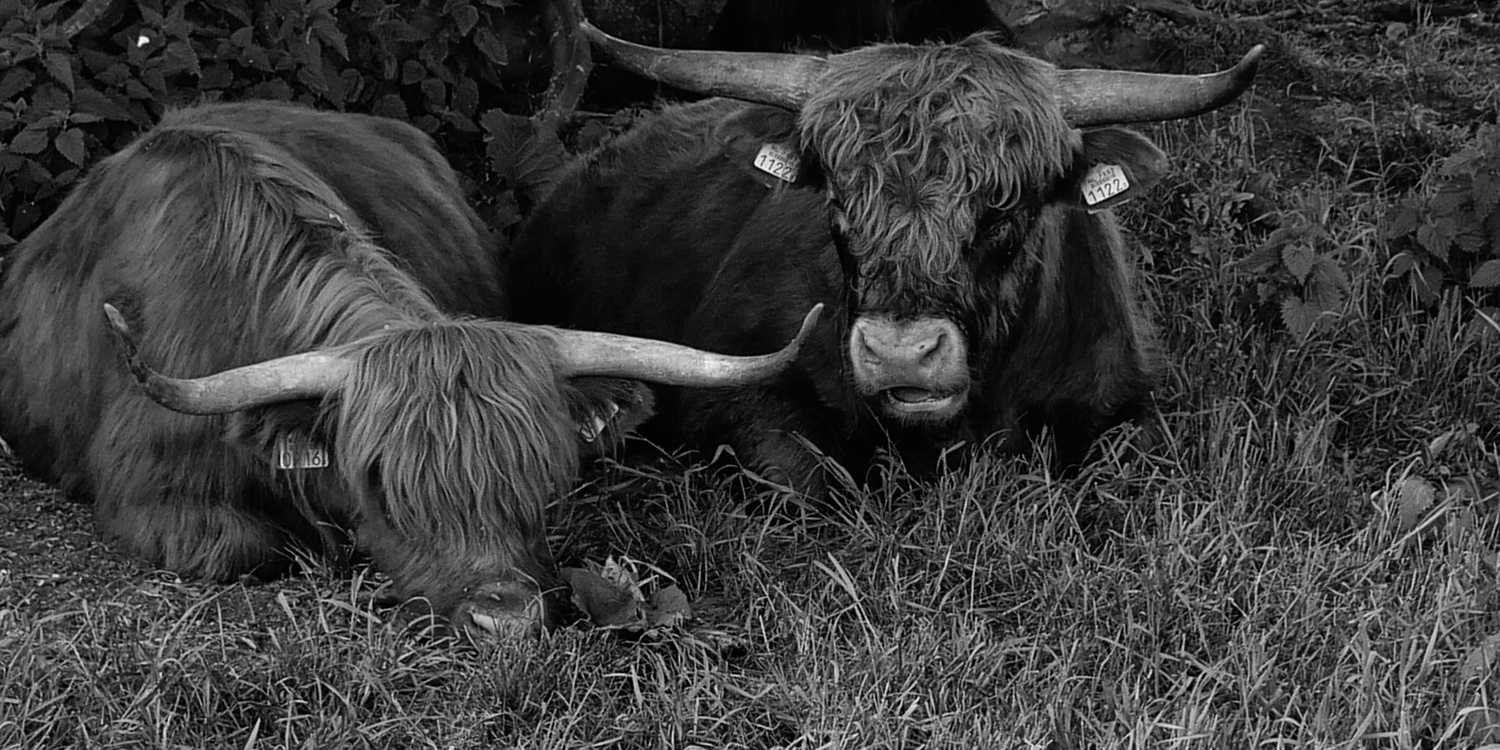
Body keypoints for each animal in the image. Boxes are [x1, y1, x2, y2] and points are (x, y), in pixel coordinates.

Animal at [510, 21, 1260, 498]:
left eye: (1005, 208)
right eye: (838, 199)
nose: (902, 352)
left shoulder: (1123, 400)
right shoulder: (735, 390)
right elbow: (805, 483)